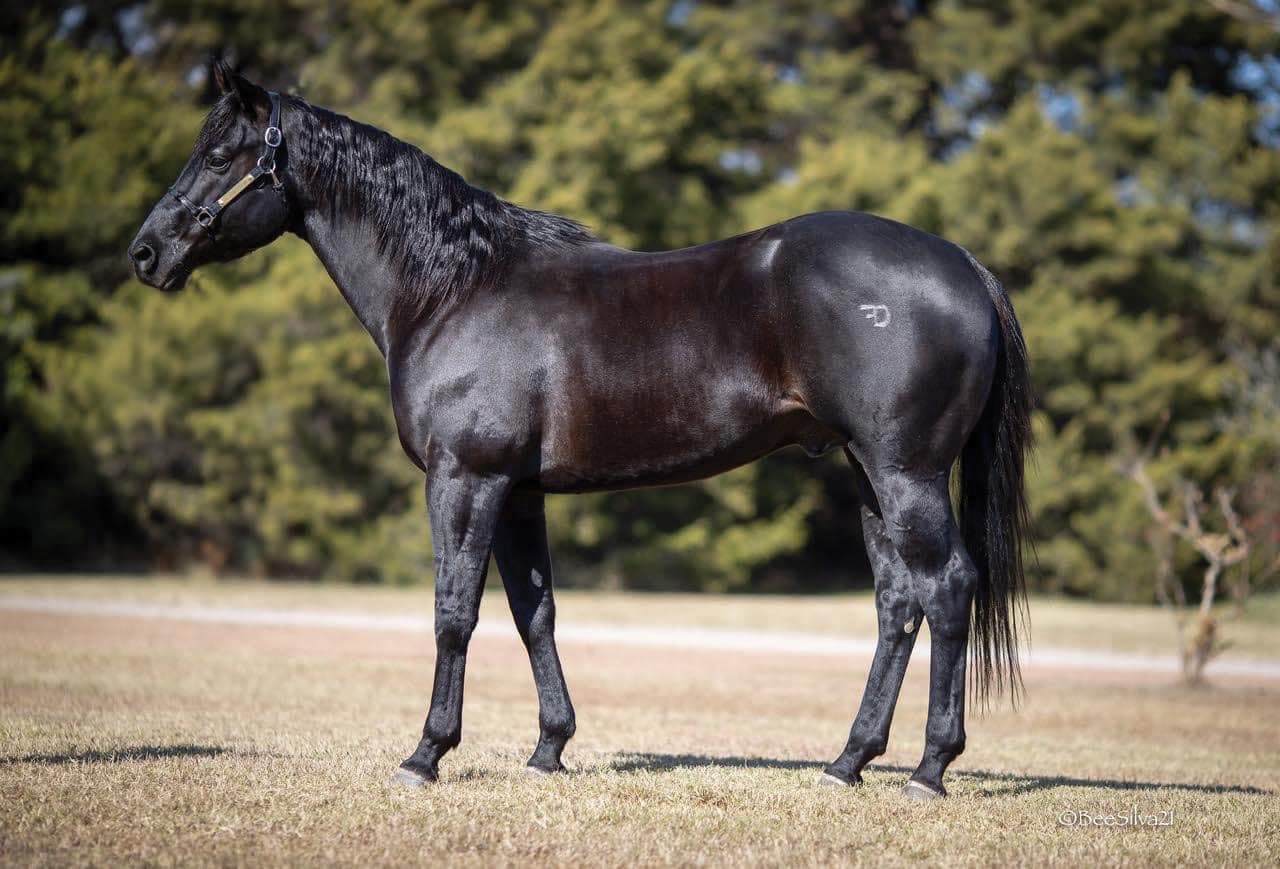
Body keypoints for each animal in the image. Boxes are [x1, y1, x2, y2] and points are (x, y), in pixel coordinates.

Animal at [129, 60, 1032, 799]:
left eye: (222, 154)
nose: (145, 253)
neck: (455, 288)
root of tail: (961, 263)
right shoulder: (520, 491)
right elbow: (536, 611)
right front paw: (548, 749)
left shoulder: (466, 479)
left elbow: (454, 611)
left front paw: (426, 754)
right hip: (867, 472)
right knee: (897, 602)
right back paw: (848, 760)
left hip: (906, 472)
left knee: (947, 586)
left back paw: (928, 769)